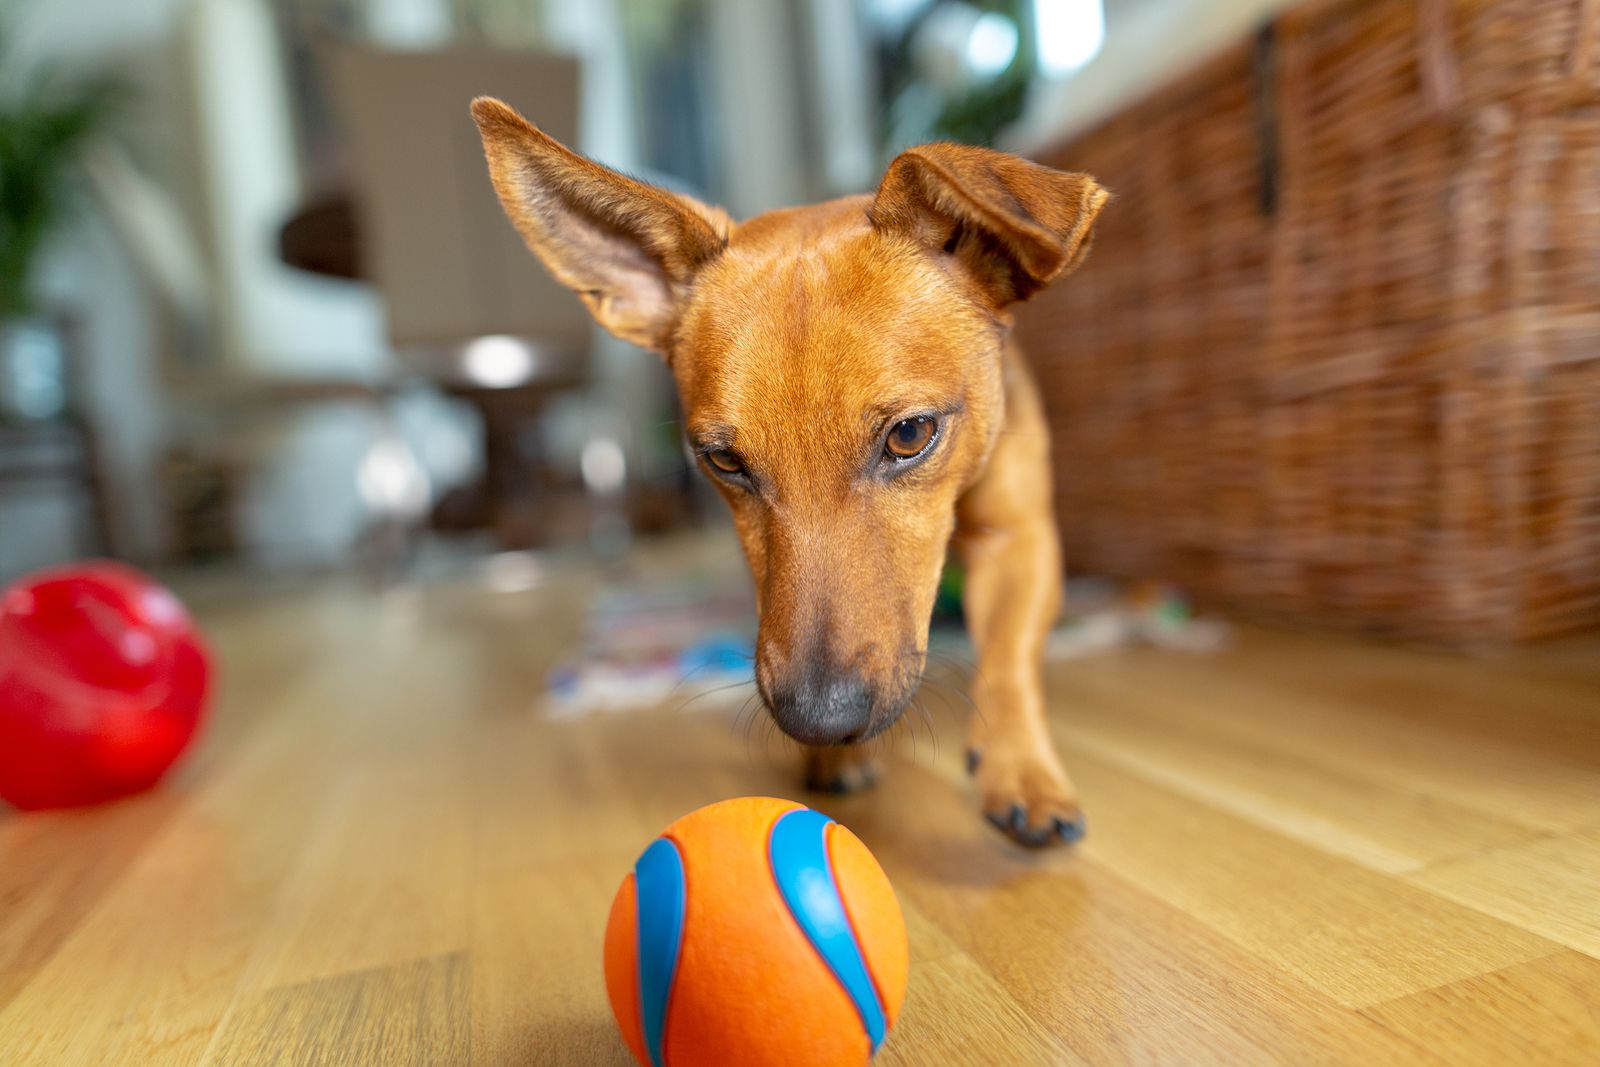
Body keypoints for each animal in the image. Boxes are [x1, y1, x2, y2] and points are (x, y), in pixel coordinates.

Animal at [467, 99, 1107, 851]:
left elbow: (1009, 660)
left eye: (911, 435)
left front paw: (1023, 770)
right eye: (723, 461)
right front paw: (836, 760)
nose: (819, 722)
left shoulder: (1019, 538)